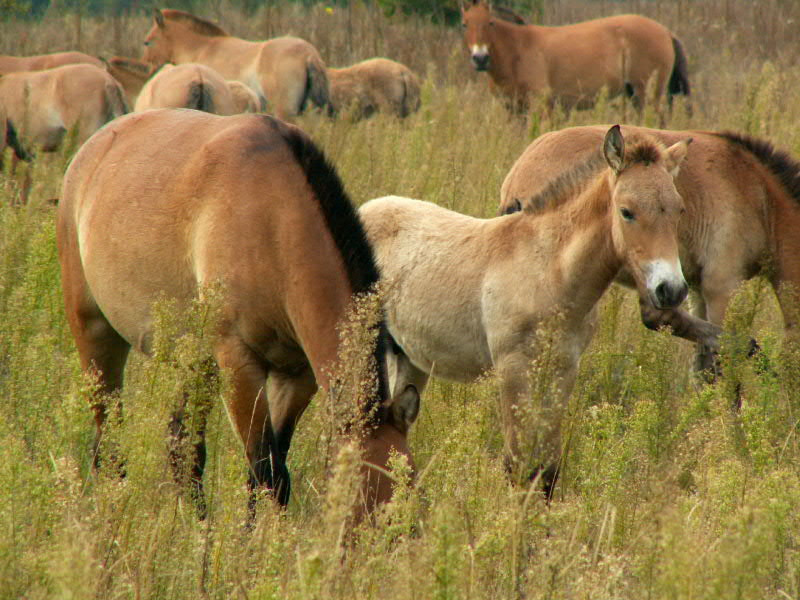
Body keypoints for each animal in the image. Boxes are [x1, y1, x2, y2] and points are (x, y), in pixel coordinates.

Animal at [57, 109, 419, 517]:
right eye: (368, 501)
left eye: (414, 492)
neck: (273, 220)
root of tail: (92, 149)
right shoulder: (240, 365)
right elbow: (266, 473)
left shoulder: (296, 375)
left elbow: (272, 470)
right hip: (95, 334)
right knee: (109, 441)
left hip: (194, 361)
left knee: (182, 449)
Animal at [360, 125, 691, 496]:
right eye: (627, 211)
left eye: (678, 210)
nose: (671, 289)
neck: (548, 270)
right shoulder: (513, 368)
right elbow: (517, 465)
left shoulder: (563, 369)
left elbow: (546, 468)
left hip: (409, 358)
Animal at [461, 1, 690, 114]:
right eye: (465, 24)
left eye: (490, 22)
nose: (480, 58)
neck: (518, 49)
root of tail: (666, 32)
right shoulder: (514, 109)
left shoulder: (541, 107)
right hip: (634, 94)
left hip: (647, 95)